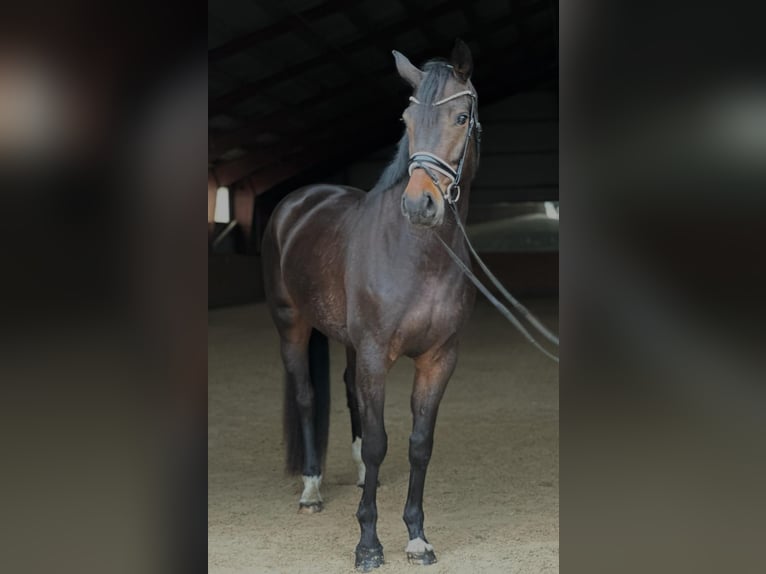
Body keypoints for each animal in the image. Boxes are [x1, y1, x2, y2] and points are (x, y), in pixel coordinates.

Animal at [264, 39, 480, 572]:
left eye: (462, 117)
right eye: (407, 119)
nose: (420, 206)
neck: (416, 255)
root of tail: (298, 201)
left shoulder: (438, 358)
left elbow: (419, 445)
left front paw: (417, 538)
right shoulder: (376, 356)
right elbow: (382, 442)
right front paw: (368, 544)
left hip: (348, 343)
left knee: (347, 392)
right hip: (292, 325)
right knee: (307, 396)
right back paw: (312, 491)